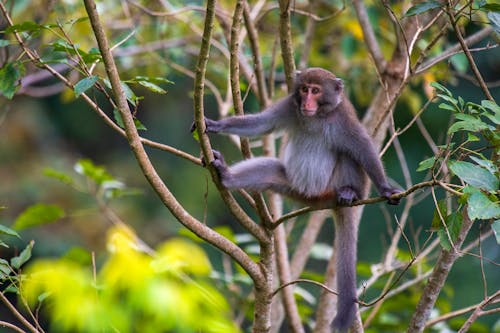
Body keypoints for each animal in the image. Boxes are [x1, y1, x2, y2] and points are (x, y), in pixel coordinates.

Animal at [193, 67, 400, 330]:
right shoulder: (289, 107)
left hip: (331, 186)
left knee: (347, 154)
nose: (307, 101)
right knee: (271, 169)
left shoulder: (342, 119)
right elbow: (261, 124)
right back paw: (227, 176)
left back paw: (348, 193)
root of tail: (315, 196)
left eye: (316, 90)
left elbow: (362, 147)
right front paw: (215, 124)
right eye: (304, 89)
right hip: (290, 185)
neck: (317, 116)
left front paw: (385, 189)